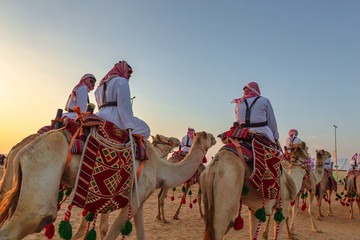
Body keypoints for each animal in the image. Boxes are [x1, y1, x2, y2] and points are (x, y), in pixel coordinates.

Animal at [0, 128, 215, 239]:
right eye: (208, 136)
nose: (178, 140)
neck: (161, 167)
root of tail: (22, 151)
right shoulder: (132, 197)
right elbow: (110, 232)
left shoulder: (139, 200)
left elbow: (140, 232)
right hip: (42, 178)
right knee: (34, 219)